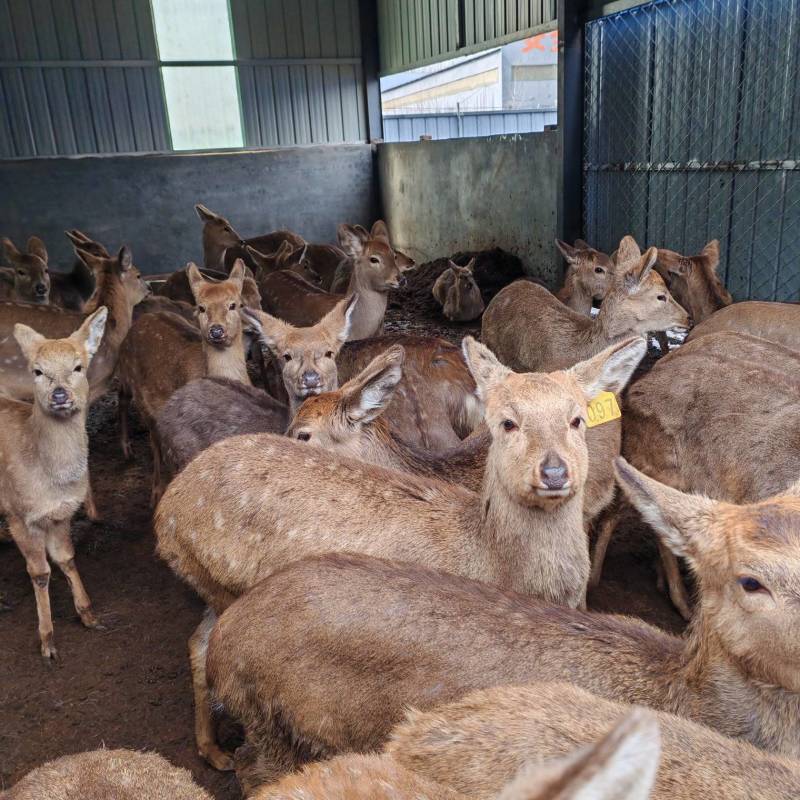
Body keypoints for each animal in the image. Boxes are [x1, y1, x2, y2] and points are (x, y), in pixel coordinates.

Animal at [0, 307, 108, 661]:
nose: (60, 395)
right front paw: (47, 641)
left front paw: (89, 615)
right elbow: (40, 572)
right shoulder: (20, 514)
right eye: (37, 370)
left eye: (78, 366)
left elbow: (66, 558)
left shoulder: (62, 514)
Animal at [117, 262, 251, 505]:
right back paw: (154, 488)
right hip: (139, 394)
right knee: (153, 439)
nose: (216, 330)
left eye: (234, 304)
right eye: (201, 307)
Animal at [154, 336, 645, 770]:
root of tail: (166, 514)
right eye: (506, 421)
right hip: (224, 587)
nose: (554, 470)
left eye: (576, 419)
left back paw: (213, 750)